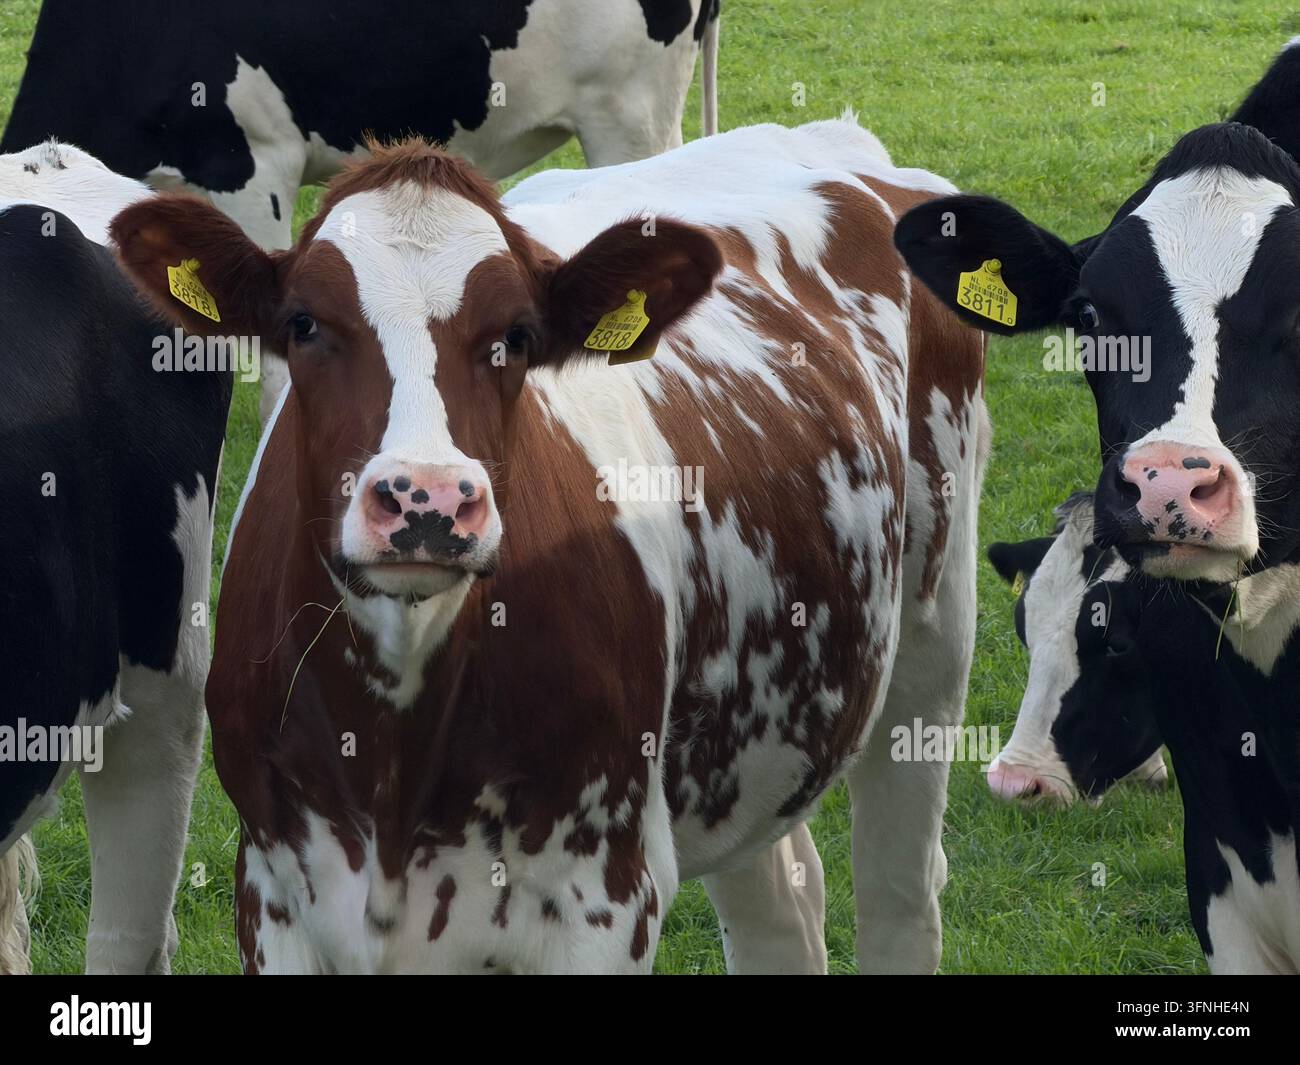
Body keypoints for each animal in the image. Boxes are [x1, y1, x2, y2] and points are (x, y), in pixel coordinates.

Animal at [110, 116, 990, 974]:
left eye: (519, 335)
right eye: (303, 323)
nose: (427, 499)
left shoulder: (606, 897)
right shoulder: (275, 889)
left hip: (931, 651)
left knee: (903, 900)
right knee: (782, 910)